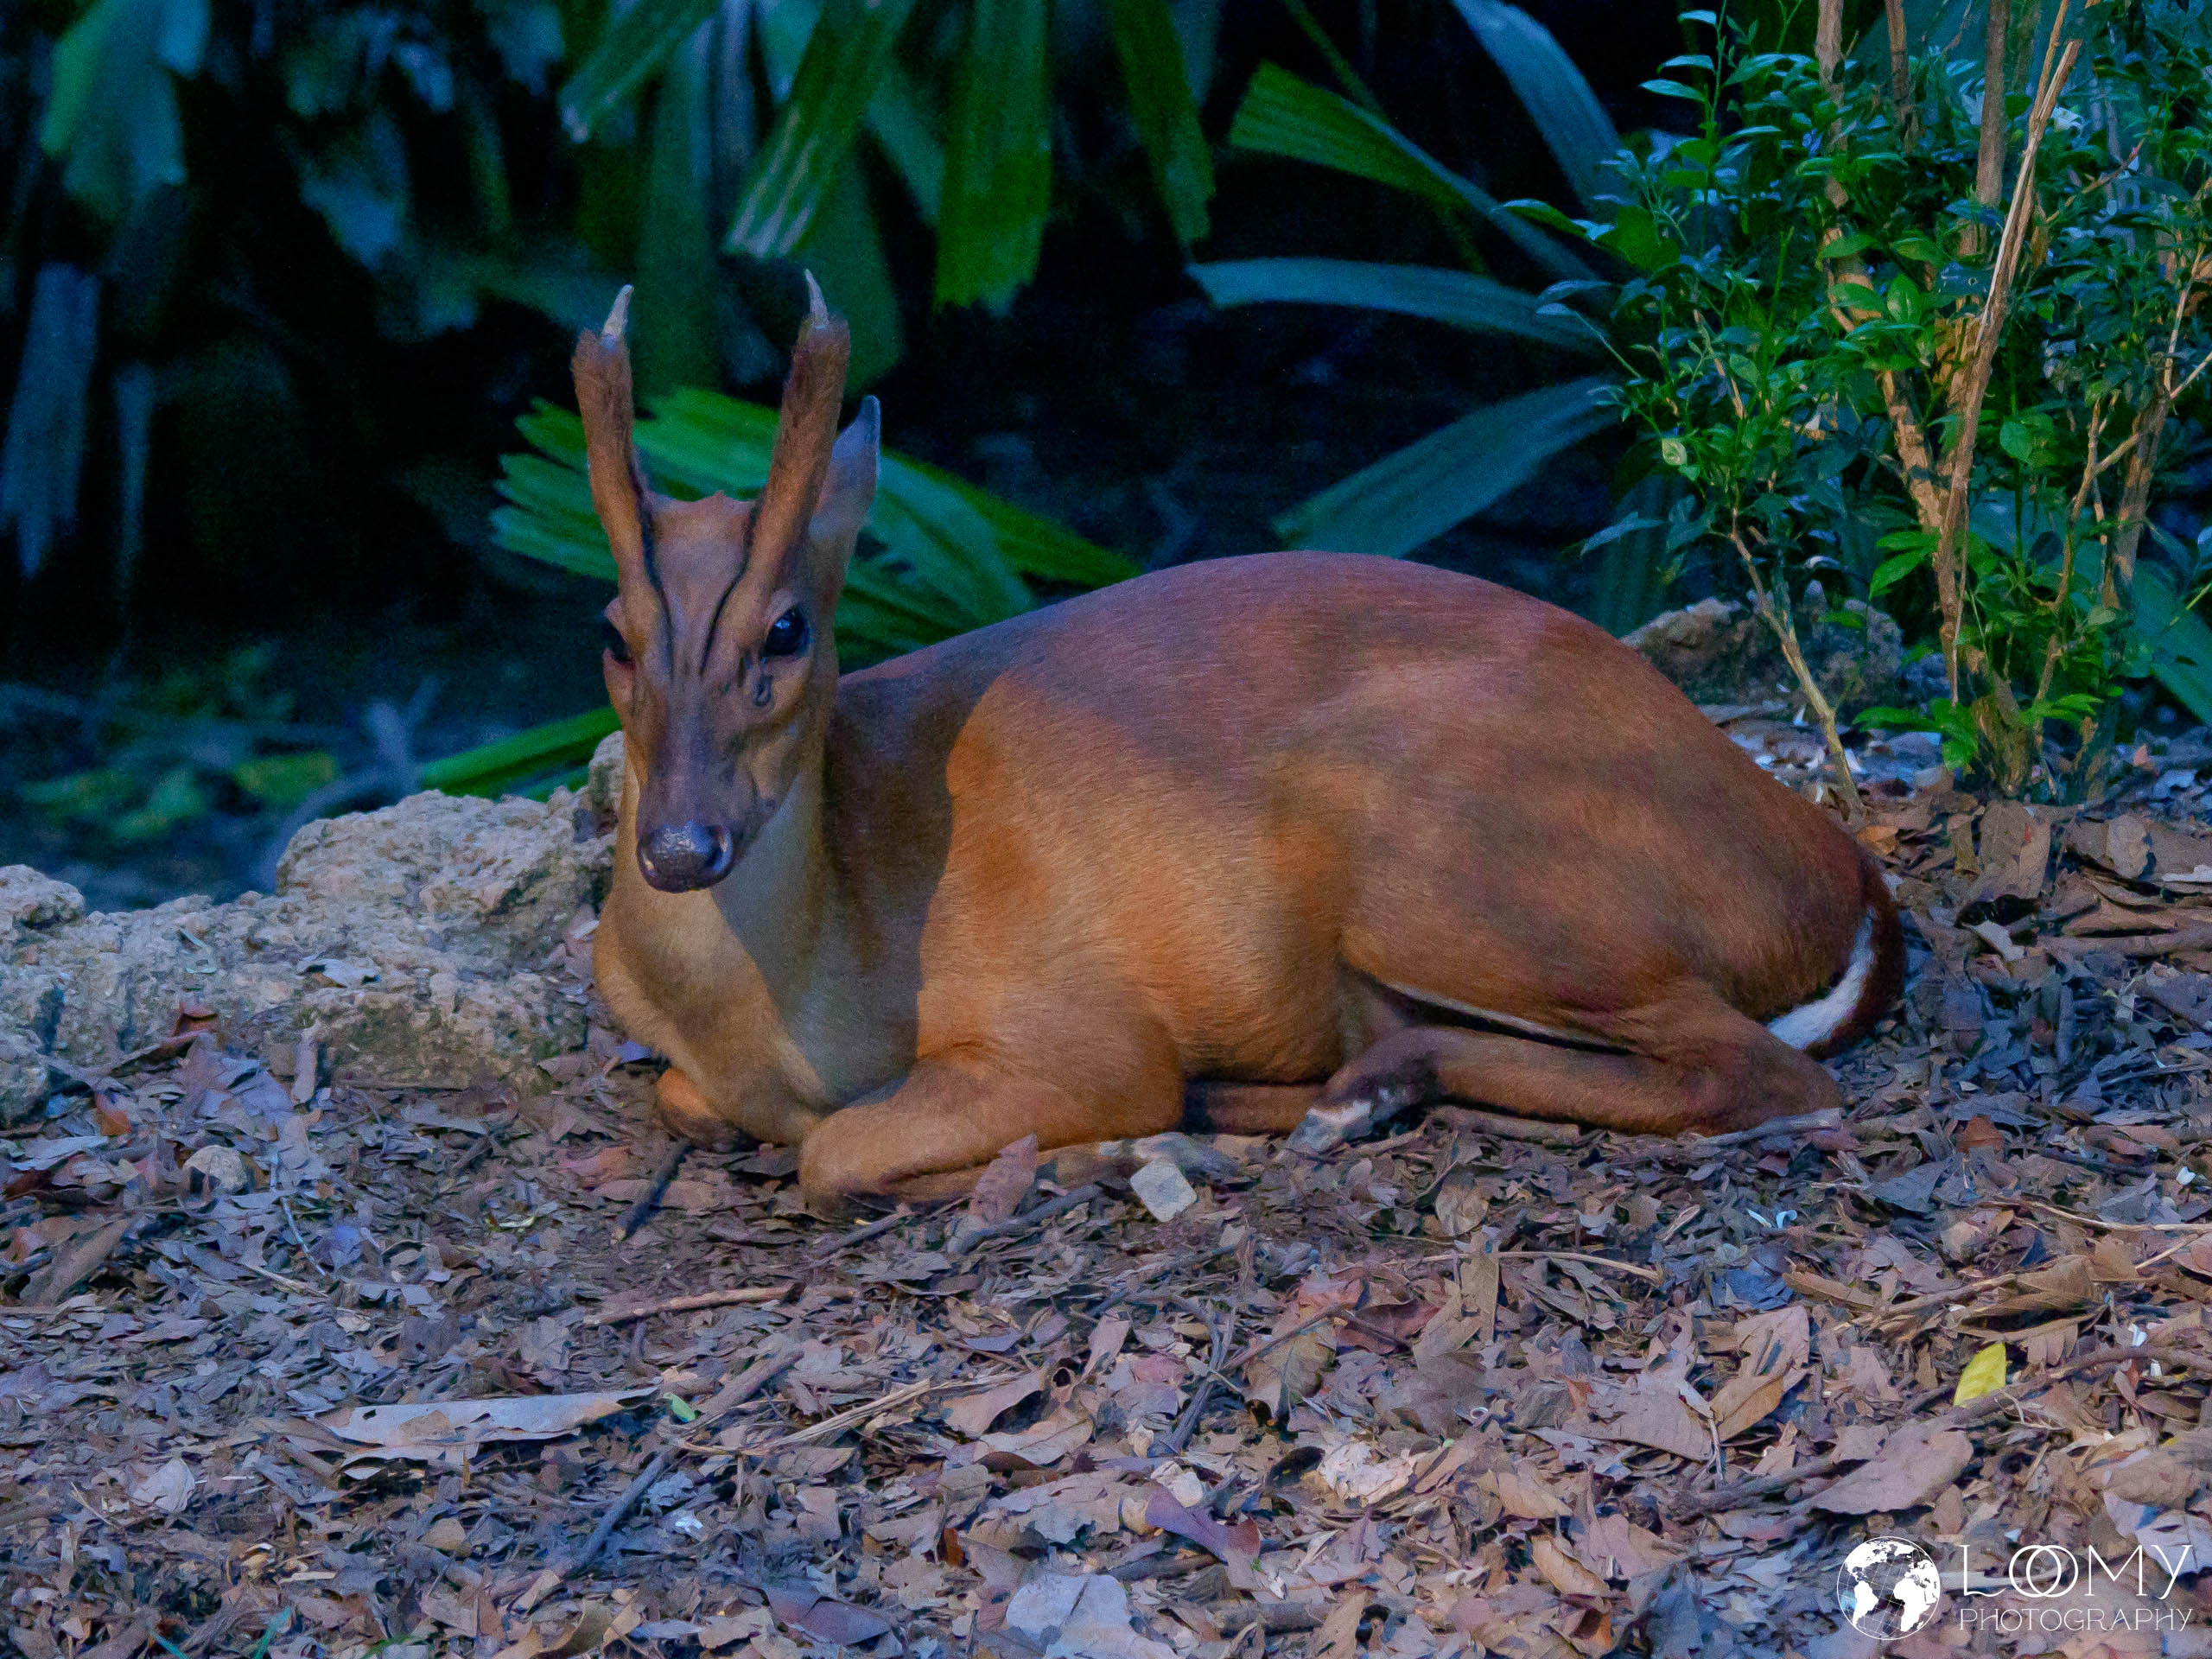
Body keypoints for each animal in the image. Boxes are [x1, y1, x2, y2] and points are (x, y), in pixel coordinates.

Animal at [577, 283, 1904, 1215]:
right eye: (612, 633)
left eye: (786, 628)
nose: (681, 845)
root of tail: (1845, 873)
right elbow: (688, 1102)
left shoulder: (1078, 1029)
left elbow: (838, 1155)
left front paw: (1111, 1153)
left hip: (1445, 866)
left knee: (1763, 1074)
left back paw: (1333, 1099)